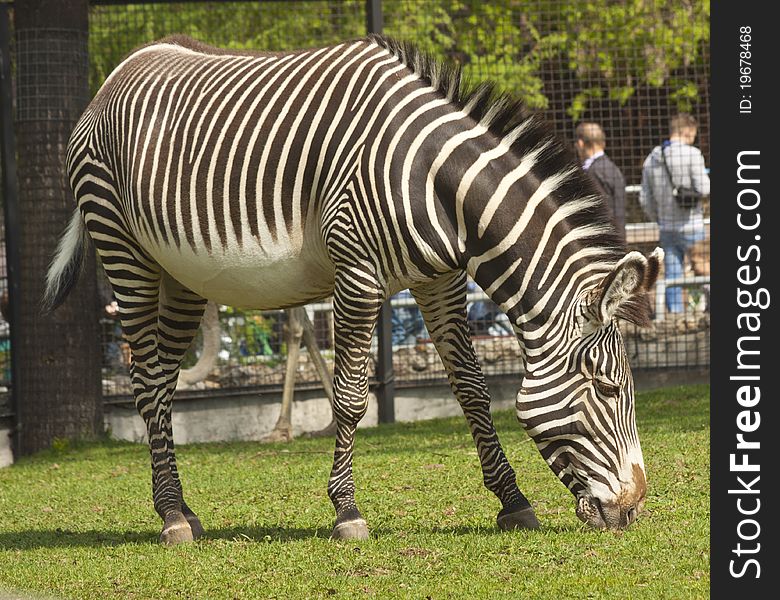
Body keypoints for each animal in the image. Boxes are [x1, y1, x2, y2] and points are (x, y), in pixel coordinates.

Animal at [45, 35, 660, 548]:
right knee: (148, 382)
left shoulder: (439, 281)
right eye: (608, 390)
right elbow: (350, 399)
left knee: (163, 383)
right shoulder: (356, 275)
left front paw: (513, 502)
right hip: (125, 251)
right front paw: (346, 512)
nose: (633, 508)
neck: (439, 187)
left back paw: (186, 511)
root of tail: (119, 71)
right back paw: (172, 517)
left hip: (182, 277)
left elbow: (472, 388)